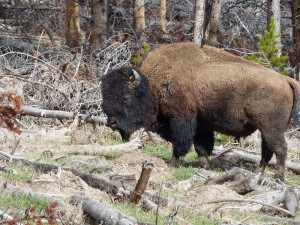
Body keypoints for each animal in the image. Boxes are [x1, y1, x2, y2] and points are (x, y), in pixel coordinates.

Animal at [101, 42, 300, 180]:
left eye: (125, 97)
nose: (111, 122)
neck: (153, 86)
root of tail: (285, 79)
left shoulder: (182, 119)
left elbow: (180, 143)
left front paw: (172, 163)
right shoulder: (202, 125)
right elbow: (201, 146)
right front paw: (204, 166)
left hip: (271, 128)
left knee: (280, 148)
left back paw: (278, 177)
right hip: (266, 129)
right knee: (267, 150)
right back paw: (259, 172)